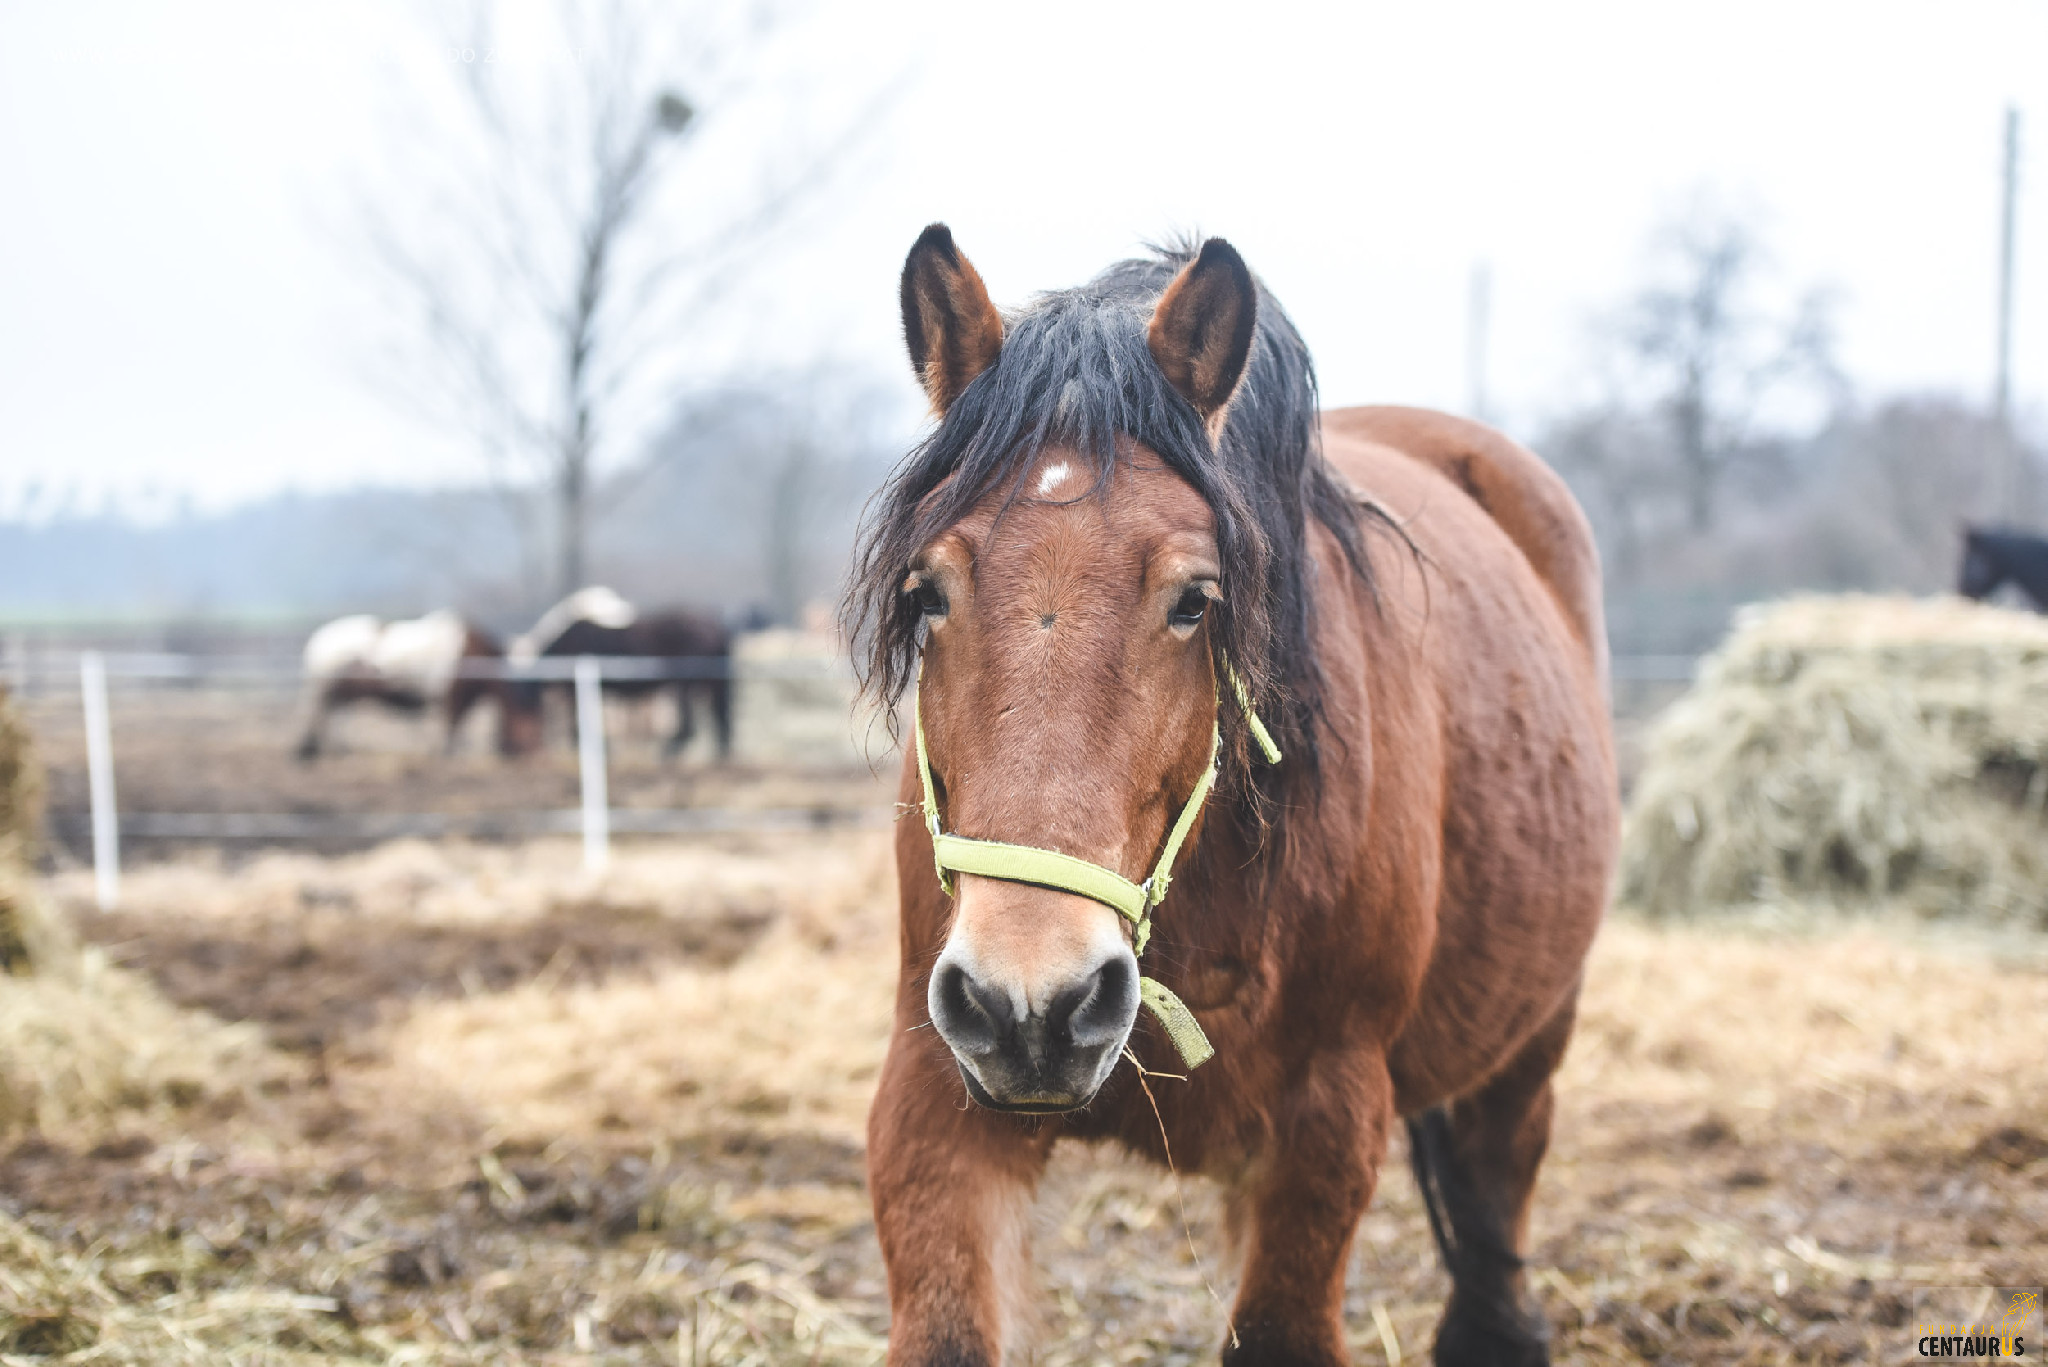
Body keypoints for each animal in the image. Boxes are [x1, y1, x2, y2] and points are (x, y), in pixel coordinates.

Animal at [294, 610, 544, 758]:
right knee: (321, 721)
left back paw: (339, 749)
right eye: (529, 722)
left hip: (341, 696)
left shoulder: (458, 700)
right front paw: (444, 754)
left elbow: (454, 729)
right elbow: (449, 728)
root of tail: (317, 640)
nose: (536, 753)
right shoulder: (452, 698)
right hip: (325, 693)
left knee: (332, 721)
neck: (472, 652)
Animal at [843, 229, 1613, 1360]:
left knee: (1495, 1179)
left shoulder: (1328, 1122)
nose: (1033, 1005)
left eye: (1193, 599)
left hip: (1533, 1031)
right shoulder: (935, 1100)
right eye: (927, 590)